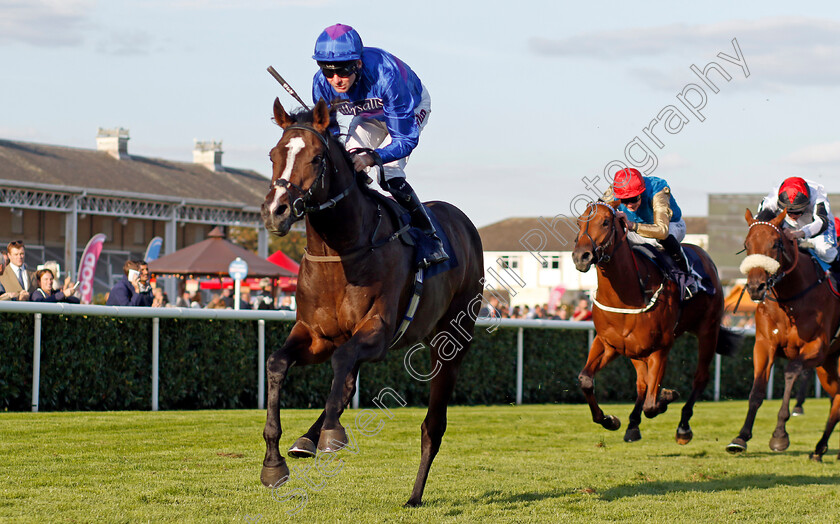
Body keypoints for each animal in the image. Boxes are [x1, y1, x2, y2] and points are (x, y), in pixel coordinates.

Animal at [260, 98, 486, 508]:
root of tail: (463, 222)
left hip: (451, 341)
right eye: (274, 154)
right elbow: (278, 363)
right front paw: (274, 463)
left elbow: (342, 363)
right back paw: (306, 440)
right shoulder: (315, 335)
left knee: (433, 425)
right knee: (347, 380)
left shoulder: (378, 331)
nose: (276, 210)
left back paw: (414, 495)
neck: (340, 251)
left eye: (317, 157)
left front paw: (331, 434)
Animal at [572, 200, 740, 442]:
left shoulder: (660, 349)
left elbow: (652, 404)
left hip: (708, 330)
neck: (627, 297)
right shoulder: (608, 343)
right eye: (579, 222)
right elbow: (586, 379)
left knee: (700, 377)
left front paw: (668, 395)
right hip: (636, 350)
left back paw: (683, 427)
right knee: (642, 384)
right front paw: (609, 420)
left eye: (605, 221)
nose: (581, 257)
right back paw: (633, 425)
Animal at [720, 209, 840, 458]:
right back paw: (819, 448)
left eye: (775, 243)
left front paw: (779, 436)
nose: (756, 287)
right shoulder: (764, 345)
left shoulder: (815, 347)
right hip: (828, 364)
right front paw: (741, 437)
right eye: (746, 244)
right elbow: (757, 390)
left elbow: (791, 372)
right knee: (838, 397)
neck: (791, 299)